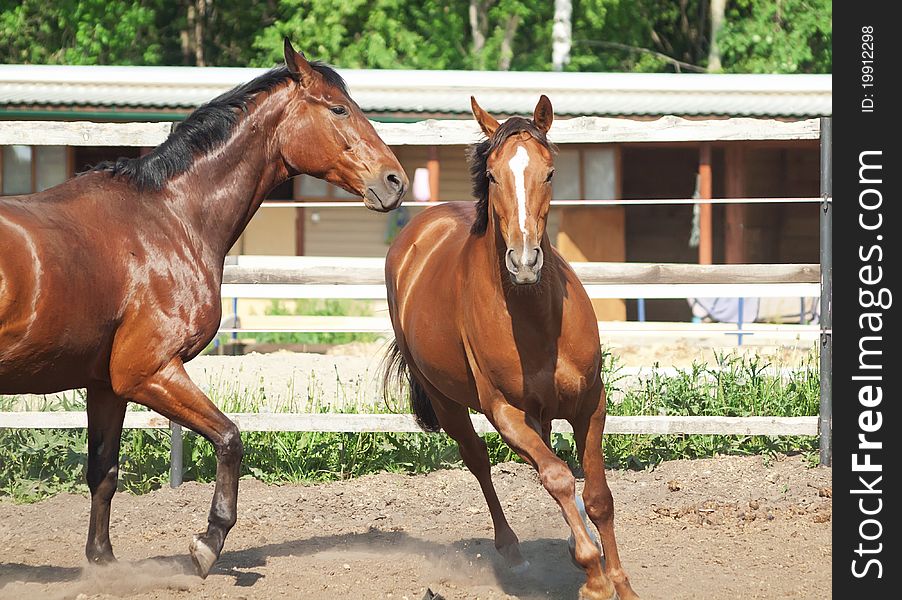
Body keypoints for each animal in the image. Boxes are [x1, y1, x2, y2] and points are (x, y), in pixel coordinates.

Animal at [0, 41, 410, 576]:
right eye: (339, 108)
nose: (395, 180)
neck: (169, 219)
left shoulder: (107, 384)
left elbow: (104, 473)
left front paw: (103, 563)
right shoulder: (148, 372)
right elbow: (230, 438)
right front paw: (208, 542)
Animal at [384, 96, 640, 596]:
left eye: (550, 172)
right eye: (492, 175)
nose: (524, 262)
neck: (536, 319)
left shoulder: (590, 401)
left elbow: (597, 495)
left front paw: (620, 582)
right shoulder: (506, 413)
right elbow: (557, 478)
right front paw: (593, 577)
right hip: (448, 403)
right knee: (479, 462)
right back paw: (514, 551)